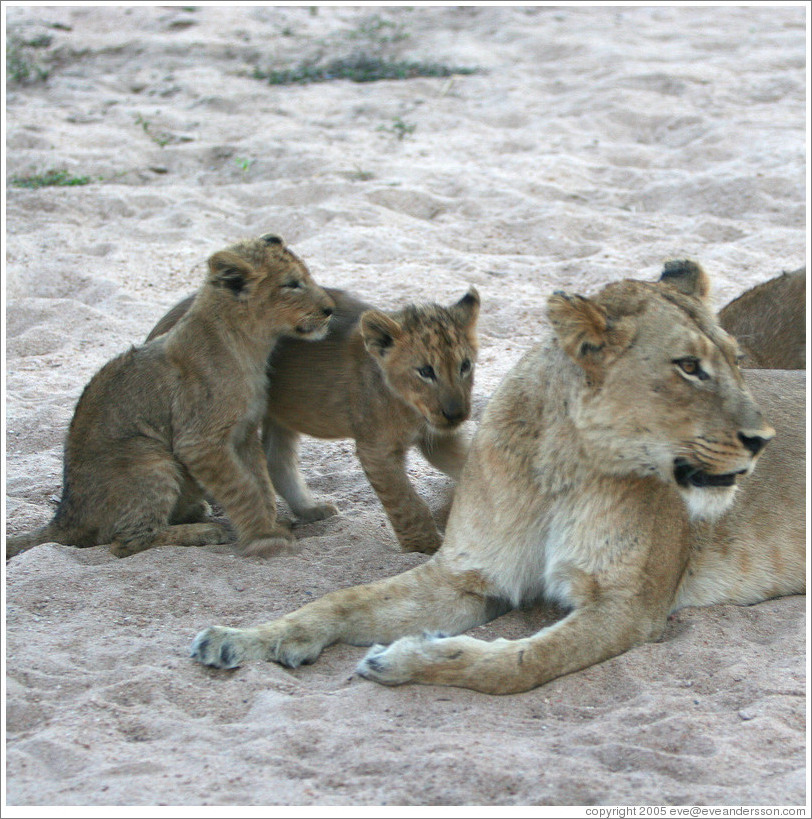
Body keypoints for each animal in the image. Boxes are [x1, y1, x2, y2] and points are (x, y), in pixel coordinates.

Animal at [6, 234, 334, 560]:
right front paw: (264, 538)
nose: (330, 309)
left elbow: (259, 484)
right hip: (148, 456)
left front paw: (269, 525)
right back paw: (204, 531)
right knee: (126, 542)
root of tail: (65, 520)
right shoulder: (199, 441)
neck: (250, 345)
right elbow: (242, 488)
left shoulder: (243, 434)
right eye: (292, 284)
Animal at [147, 286, 481, 554]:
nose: (456, 413)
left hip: (282, 412)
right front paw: (424, 546)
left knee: (275, 460)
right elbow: (406, 501)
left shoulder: (438, 438)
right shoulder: (376, 448)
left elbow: (469, 461)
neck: (410, 407)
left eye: (464, 366)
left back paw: (309, 508)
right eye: (425, 371)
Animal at [190, 260, 805, 694]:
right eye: (689, 367)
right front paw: (240, 640)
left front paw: (406, 656)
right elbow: (340, 600)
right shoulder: (468, 575)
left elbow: (519, 663)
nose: (762, 440)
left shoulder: (629, 606)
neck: (564, 469)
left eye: (737, 360)